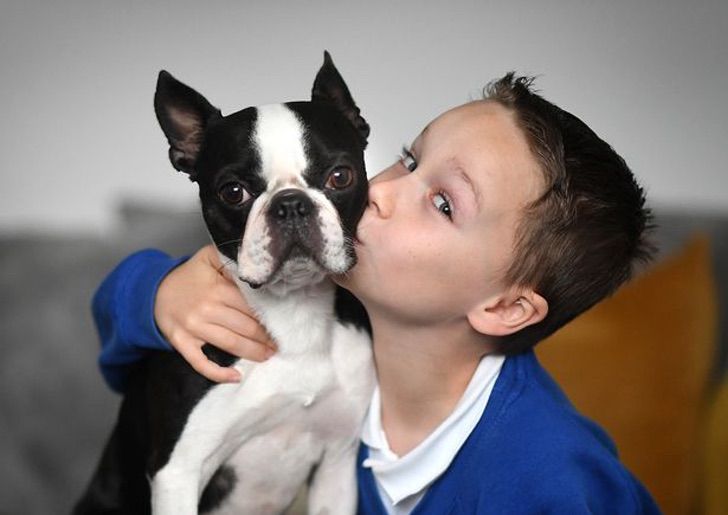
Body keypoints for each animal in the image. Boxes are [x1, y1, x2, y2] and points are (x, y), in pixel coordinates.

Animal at [75, 52, 376, 515]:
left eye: (340, 176)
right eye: (232, 191)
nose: (291, 204)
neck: (295, 315)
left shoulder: (337, 462)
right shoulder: (178, 473)